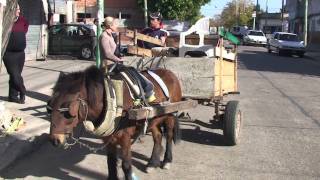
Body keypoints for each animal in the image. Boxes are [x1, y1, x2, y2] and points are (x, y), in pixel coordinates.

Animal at [47, 65, 182, 180]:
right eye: (50, 106)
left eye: (68, 109)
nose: (55, 140)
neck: (112, 101)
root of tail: (170, 73)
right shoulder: (108, 138)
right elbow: (111, 163)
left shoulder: (125, 138)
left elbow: (126, 165)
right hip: (153, 118)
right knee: (158, 136)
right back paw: (152, 163)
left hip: (170, 115)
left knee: (169, 136)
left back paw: (167, 161)